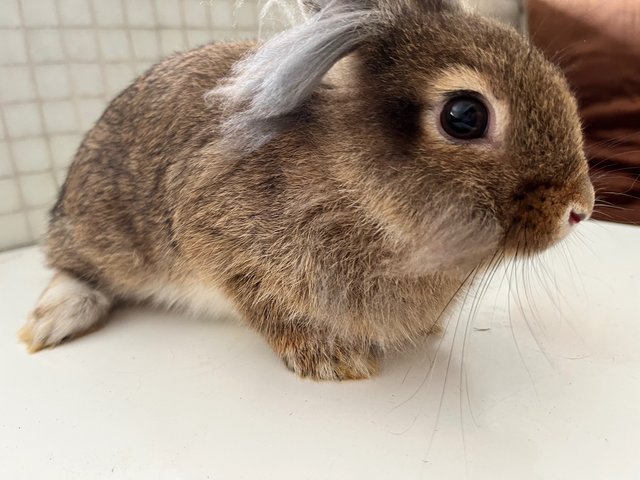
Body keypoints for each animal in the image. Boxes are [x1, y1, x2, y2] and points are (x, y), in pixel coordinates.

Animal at [18, 0, 596, 382]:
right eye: (464, 115)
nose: (580, 208)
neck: (357, 188)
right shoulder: (220, 241)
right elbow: (268, 305)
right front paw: (334, 361)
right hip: (104, 228)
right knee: (71, 266)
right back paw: (53, 322)